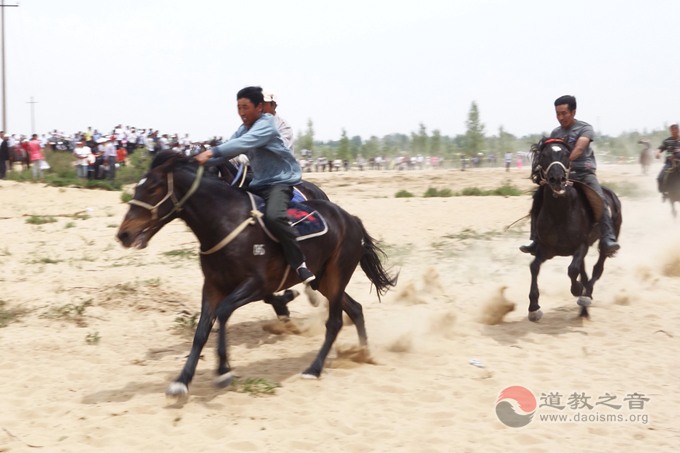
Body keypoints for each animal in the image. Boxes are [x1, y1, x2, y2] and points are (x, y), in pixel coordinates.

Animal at [524, 139, 620, 320]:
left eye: (566, 154)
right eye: (544, 155)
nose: (557, 179)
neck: (560, 211)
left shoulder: (581, 245)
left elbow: (572, 270)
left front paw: (578, 290)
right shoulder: (546, 249)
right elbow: (534, 267)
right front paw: (533, 308)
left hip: (606, 241)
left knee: (598, 268)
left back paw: (586, 295)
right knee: (585, 272)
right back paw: (583, 311)